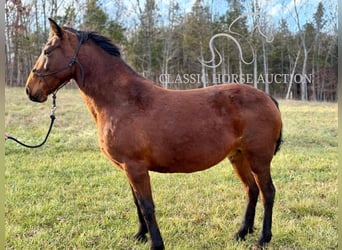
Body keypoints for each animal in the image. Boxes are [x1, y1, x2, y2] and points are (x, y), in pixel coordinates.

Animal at [24, 18, 284, 249]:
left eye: (47, 51)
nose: (30, 90)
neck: (123, 100)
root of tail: (266, 97)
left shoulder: (135, 167)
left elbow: (147, 206)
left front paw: (156, 243)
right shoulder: (127, 168)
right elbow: (137, 203)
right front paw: (140, 235)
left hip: (258, 159)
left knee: (267, 193)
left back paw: (263, 238)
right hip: (238, 156)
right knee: (251, 190)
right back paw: (242, 232)